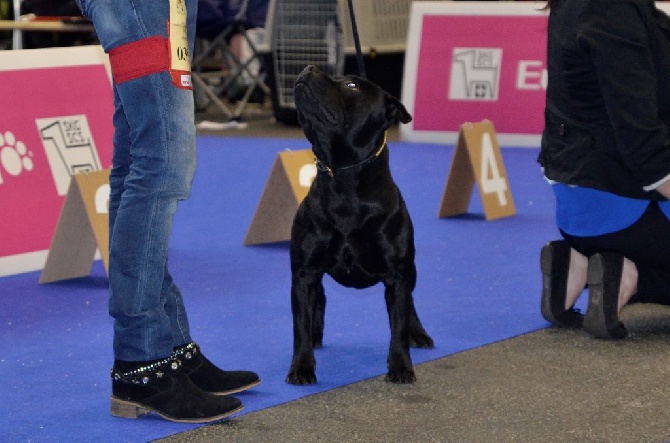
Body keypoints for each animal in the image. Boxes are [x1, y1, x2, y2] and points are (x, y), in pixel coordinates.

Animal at [288, 65, 436, 386]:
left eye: (352, 85)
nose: (309, 68)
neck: (343, 177)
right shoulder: (304, 273)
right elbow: (300, 326)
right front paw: (302, 367)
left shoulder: (397, 275)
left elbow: (398, 324)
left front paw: (401, 366)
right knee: (319, 299)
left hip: (410, 271)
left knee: (410, 303)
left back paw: (419, 334)